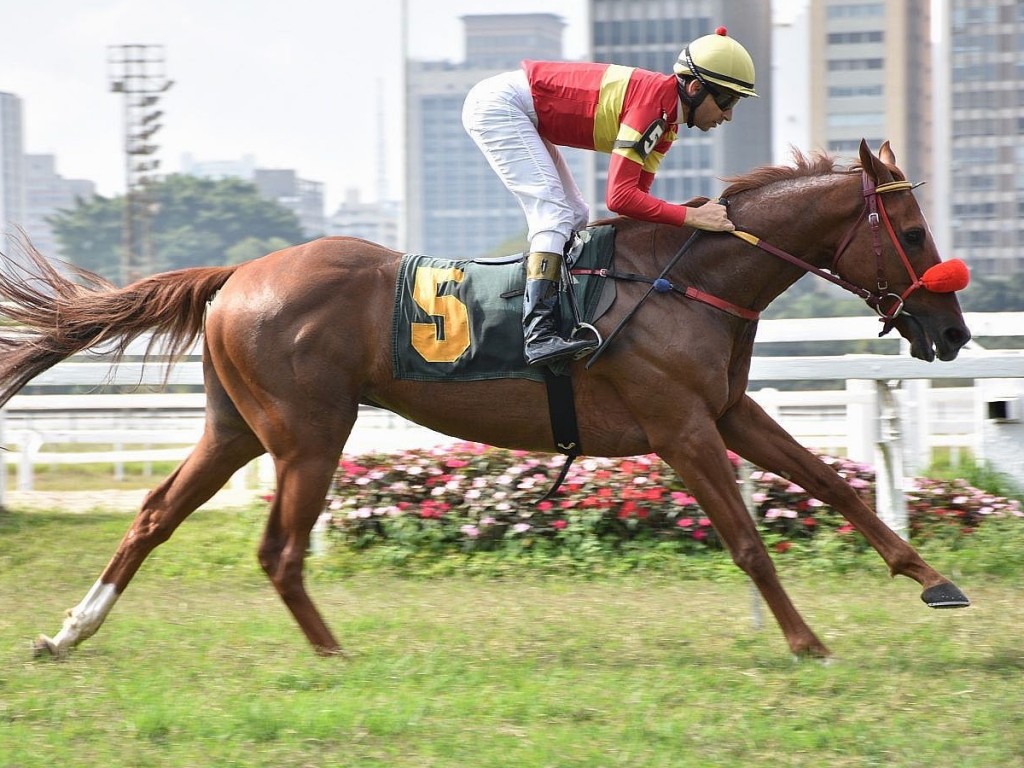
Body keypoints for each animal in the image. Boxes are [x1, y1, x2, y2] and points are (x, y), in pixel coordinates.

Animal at [0, 140, 970, 663]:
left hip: (235, 429)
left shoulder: (728, 412)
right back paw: (333, 652)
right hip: (309, 433)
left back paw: (69, 633)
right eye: (913, 231)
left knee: (154, 513)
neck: (686, 279)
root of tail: (237, 273)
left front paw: (933, 579)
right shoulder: (681, 428)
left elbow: (834, 483)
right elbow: (746, 541)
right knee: (279, 549)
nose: (952, 333)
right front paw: (806, 642)